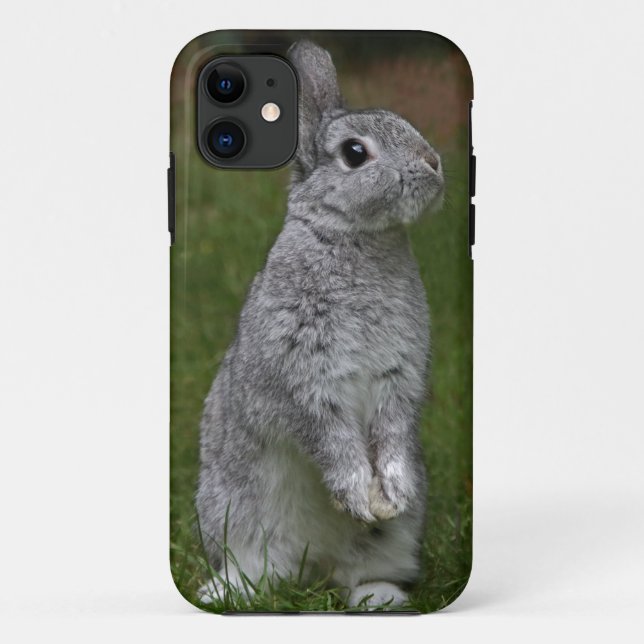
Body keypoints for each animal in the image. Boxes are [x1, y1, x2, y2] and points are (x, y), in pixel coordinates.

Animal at [196, 40, 444, 609]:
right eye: (355, 153)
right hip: (234, 511)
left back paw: (379, 597)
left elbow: (392, 432)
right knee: (256, 566)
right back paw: (228, 593)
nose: (434, 163)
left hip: (392, 541)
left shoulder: (398, 378)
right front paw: (357, 494)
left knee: (364, 569)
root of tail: (313, 565)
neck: (355, 236)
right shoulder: (305, 379)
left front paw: (391, 493)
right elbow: (331, 439)